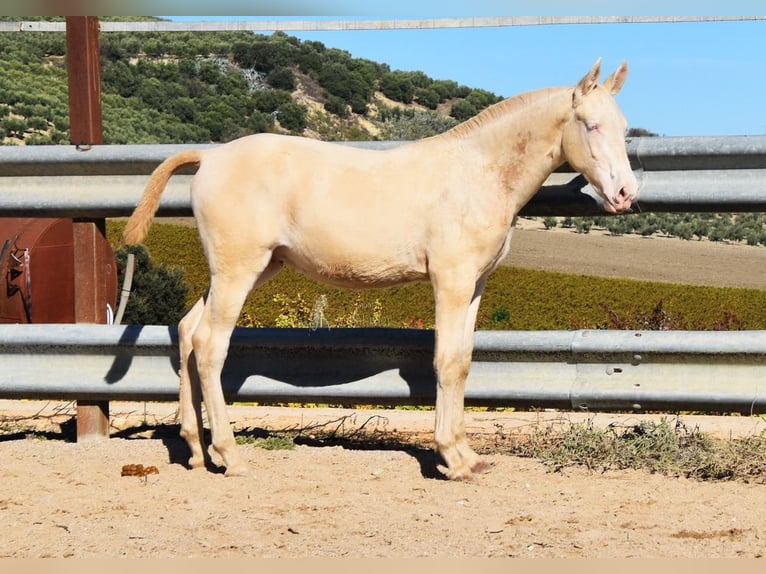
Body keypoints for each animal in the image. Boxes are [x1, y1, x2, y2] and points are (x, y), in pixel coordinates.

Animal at [123, 58, 640, 482]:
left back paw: (196, 450)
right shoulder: (450, 280)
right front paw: (452, 460)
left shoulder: (475, 284)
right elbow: (445, 362)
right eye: (591, 125)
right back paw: (230, 456)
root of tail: (211, 156)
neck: (477, 174)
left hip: (250, 268)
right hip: (238, 270)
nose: (625, 194)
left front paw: (470, 457)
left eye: (623, 127)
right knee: (211, 345)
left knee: (188, 331)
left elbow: (463, 362)